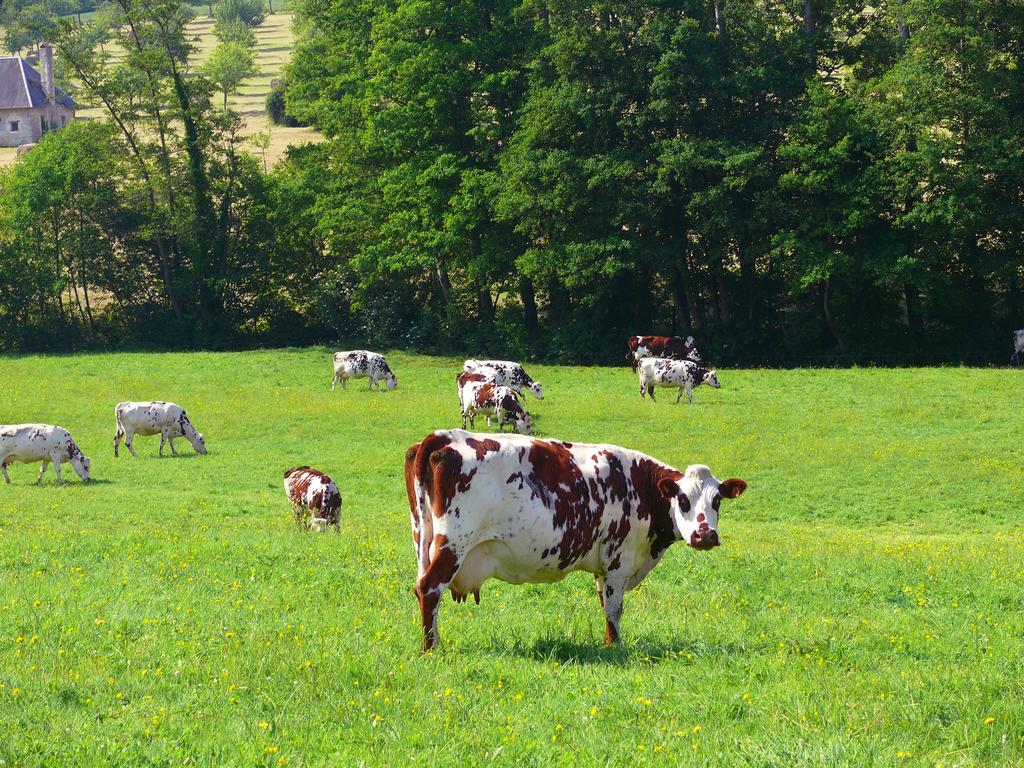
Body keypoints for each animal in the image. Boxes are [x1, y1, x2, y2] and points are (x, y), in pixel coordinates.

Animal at [399, 430, 745, 651]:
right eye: (683, 500)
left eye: (717, 501)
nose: (704, 535)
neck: (638, 484)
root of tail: (444, 436)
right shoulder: (619, 560)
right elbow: (614, 608)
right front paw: (615, 647)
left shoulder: (603, 566)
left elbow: (604, 603)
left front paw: (607, 643)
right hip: (453, 544)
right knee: (430, 588)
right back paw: (431, 648)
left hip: (422, 538)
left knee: (422, 588)